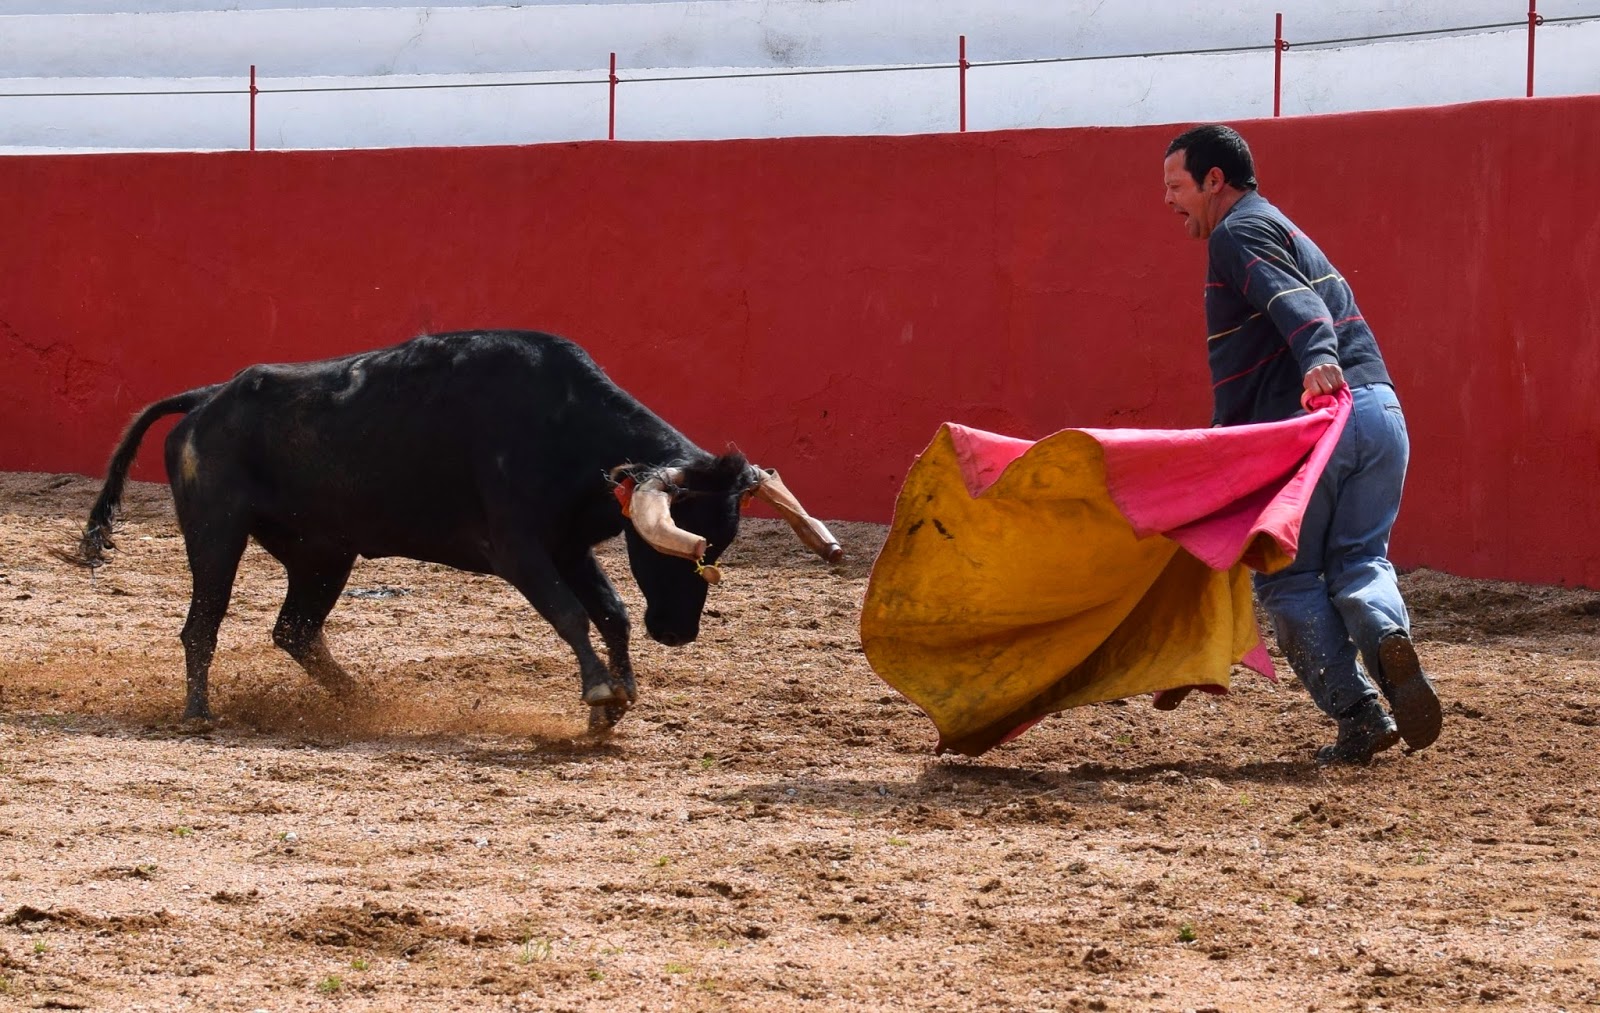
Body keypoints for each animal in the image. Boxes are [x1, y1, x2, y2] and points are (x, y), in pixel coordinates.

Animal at [64, 330, 842, 731]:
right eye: (675, 544)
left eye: (726, 543)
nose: (678, 632)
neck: (564, 429)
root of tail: (208, 396)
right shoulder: (519, 550)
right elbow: (570, 613)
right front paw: (599, 692)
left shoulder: (568, 546)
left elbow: (612, 612)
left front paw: (619, 698)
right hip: (216, 533)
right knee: (203, 623)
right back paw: (199, 711)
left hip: (324, 552)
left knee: (294, 630)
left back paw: (364, 701)